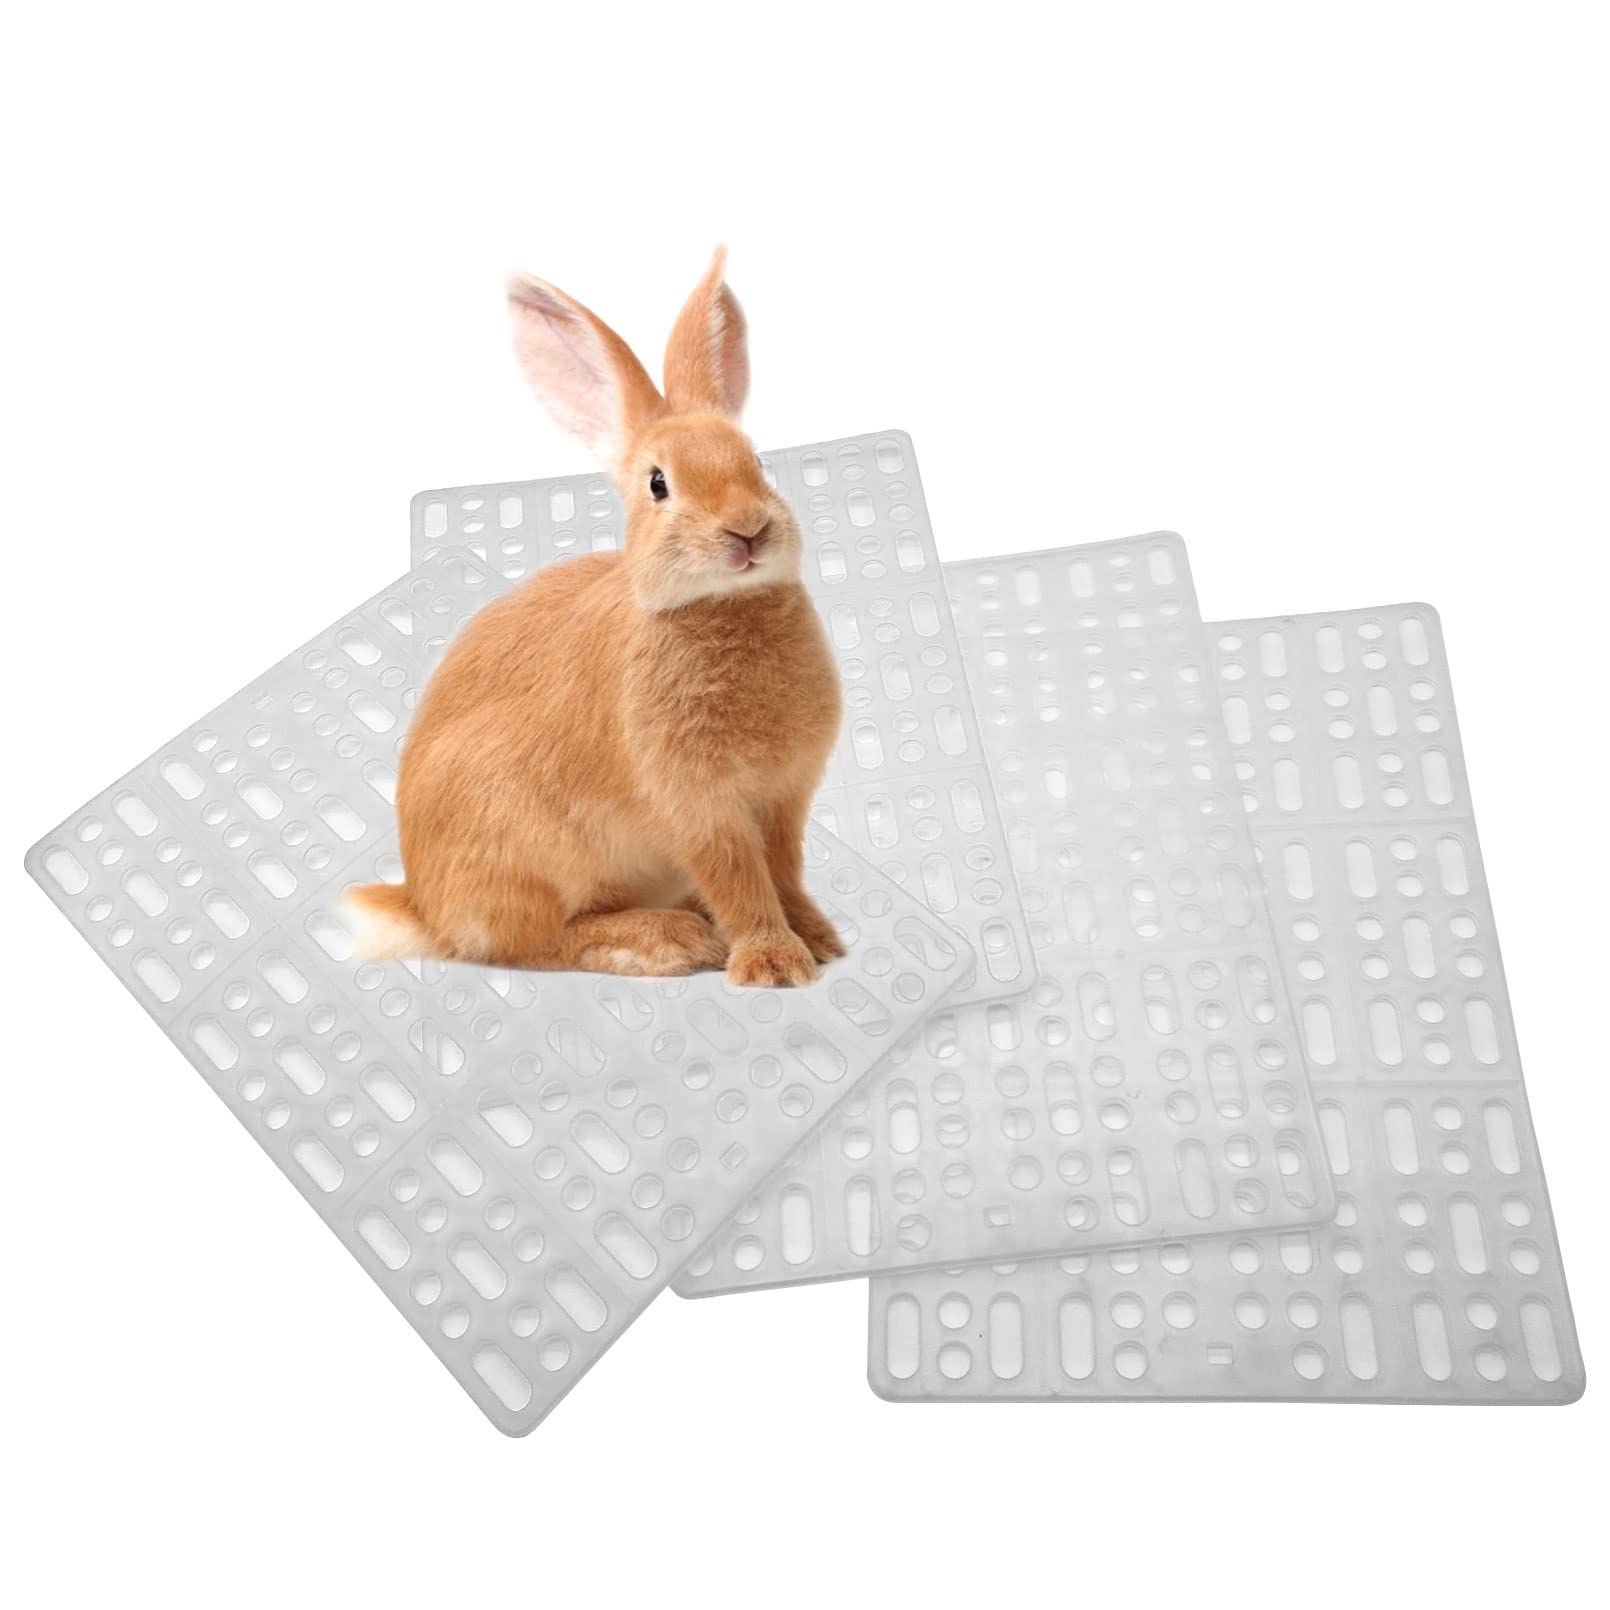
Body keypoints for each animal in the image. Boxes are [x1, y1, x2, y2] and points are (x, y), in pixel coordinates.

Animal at [343, 249, 845, 987]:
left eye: (756, 462)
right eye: (658, 484)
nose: (747, 530)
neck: (724, 605)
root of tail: (423, 902)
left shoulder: (783, 799)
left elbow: (783, 873)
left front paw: (818, 938)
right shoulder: (698, 805)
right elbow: (741, 880)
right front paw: (774, 965)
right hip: (524, 846)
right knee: (529, 940)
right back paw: (663, 939)